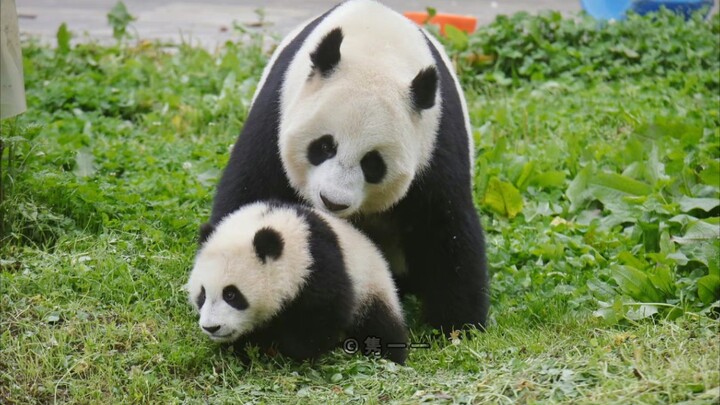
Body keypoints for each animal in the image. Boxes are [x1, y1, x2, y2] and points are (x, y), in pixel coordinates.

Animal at [188, 200, 408, 364]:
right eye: (202, 295)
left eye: (231, 294)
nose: (211, 327)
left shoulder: (318, 263)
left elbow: (324, 315)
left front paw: (288, 347)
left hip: (371, 286)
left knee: (380, 325)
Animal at [204, 0, 489, 333]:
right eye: (325, 146)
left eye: (373, 164)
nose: (333, 201)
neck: (376, 46)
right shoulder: (276, 114)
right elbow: (251, 191)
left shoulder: (433, 141)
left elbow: (444, 226)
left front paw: (456, 325)